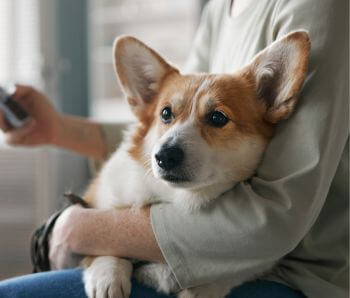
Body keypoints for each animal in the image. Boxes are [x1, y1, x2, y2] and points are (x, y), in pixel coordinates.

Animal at [81, 30, 308, 298]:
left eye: (217, 117)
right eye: (166, 114)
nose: (164, 156)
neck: (176, 198)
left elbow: (227, 276)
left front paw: (200, 289)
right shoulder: (96, 202)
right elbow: (104, 242)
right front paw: (108, 275)